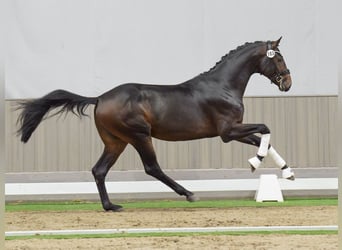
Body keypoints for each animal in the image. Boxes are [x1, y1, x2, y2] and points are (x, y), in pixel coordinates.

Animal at [17, 38, 294, 211]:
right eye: (278, 59)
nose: (287, 83)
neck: (223, 86)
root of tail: (100, 98)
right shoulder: (227, 132)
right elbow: (266, 129)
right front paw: (255, 162)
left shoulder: (236, 129)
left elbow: (265, 140)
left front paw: (287, 172)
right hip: (140, 136)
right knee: (152, 168)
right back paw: (189, 194)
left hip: (116, 141)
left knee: (99, 170)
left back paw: (111, 206)